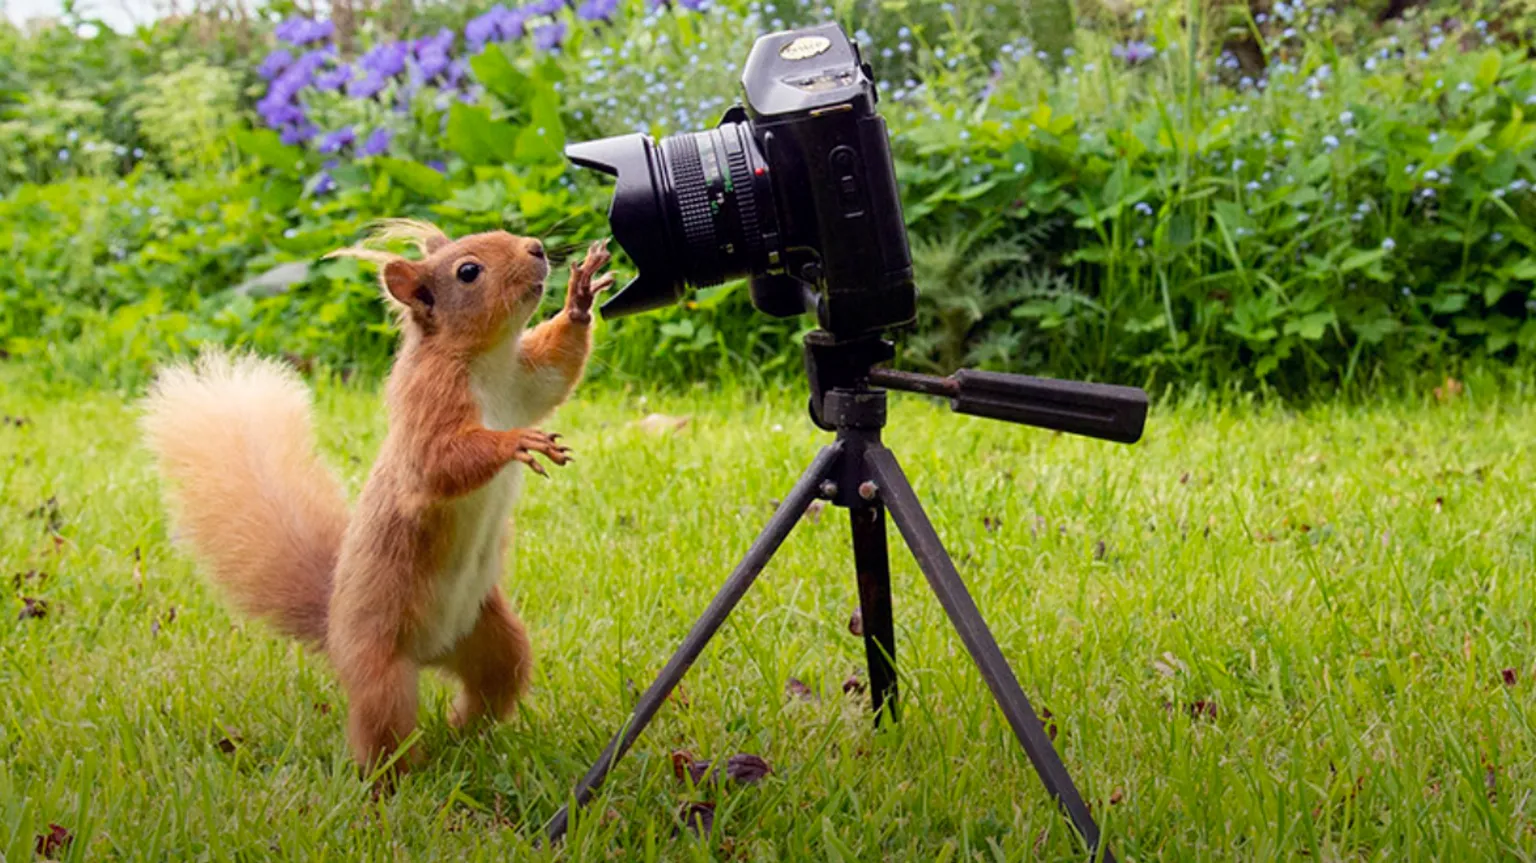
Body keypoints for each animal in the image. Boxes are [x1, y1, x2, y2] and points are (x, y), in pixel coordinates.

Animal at [139, 219, 614, 772]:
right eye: (468, 272)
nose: (536, 249)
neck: (485, 363)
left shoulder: (524, 384)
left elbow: (555, 374)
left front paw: (580, 297)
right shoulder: (427, 407)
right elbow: (440, 463)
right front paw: (514, 442)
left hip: (490, 636)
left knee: (494, 682)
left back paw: (465, 737)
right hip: (380, 668)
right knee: (382, 730)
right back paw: (398, 779)